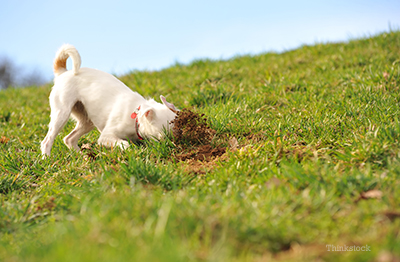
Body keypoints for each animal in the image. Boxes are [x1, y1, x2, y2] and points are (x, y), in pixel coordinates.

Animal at [40, 44, 177, 157]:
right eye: (164, 135)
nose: (175, 144)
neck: (136, 118)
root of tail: (63, 73)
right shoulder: (105, 137)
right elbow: (124, 143)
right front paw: (128, 149)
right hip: (61, 114)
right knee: (47, 140)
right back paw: (47, 158)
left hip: (86, 120)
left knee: (69, 139)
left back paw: (81, 156)